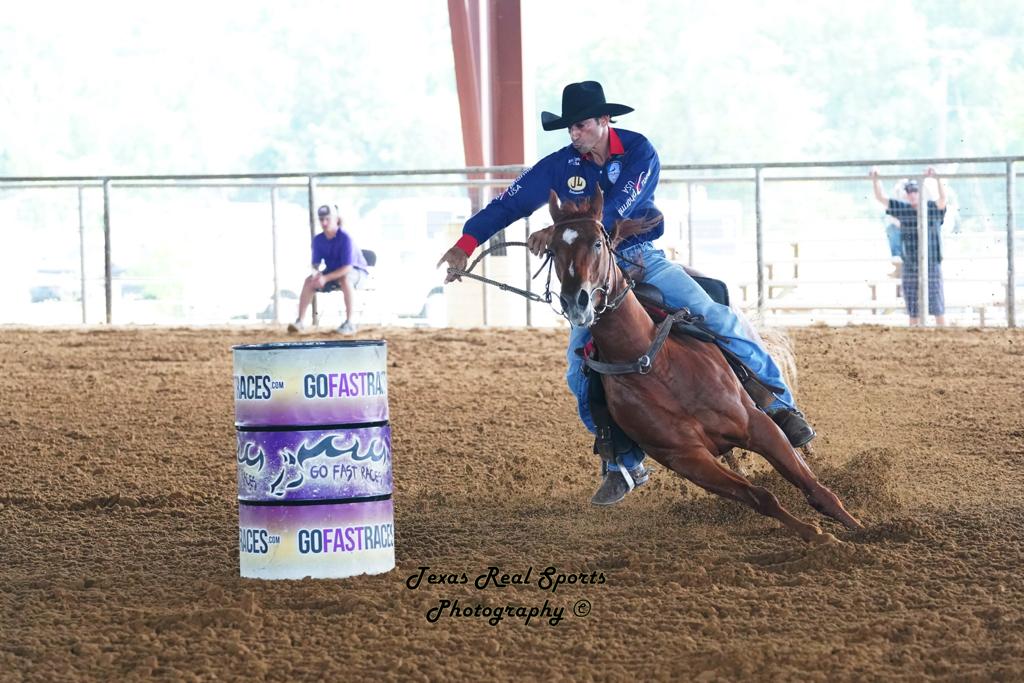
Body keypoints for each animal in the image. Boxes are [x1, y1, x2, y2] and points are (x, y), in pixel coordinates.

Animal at [536, 189, 864, 540]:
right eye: (553, 250)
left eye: (598, 243)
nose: (576, 302)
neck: (653, 365)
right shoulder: (688, 460)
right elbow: (761, 497)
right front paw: (816, 535)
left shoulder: (757, 425)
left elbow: (814, 487)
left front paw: (860, 529)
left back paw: (799, 429)